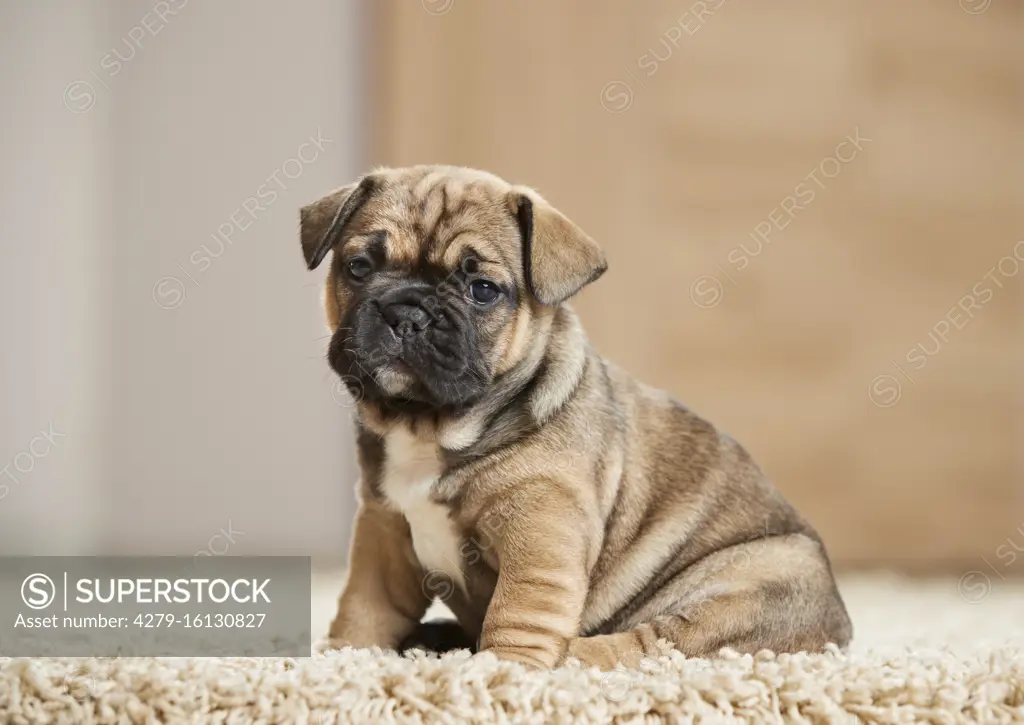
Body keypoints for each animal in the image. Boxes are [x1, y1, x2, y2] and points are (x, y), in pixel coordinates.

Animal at [299, 163, 851, 667]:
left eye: (482, 290)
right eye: (359, 267)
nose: (406, 313)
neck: (428, 424)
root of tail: (838, 630)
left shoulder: (540, 533)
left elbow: (518, 613)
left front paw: (503, 670)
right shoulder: (385, 531)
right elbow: (366, 604)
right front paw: (345, 655)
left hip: (750, 586)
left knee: (655, 644)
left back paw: (568, 657)